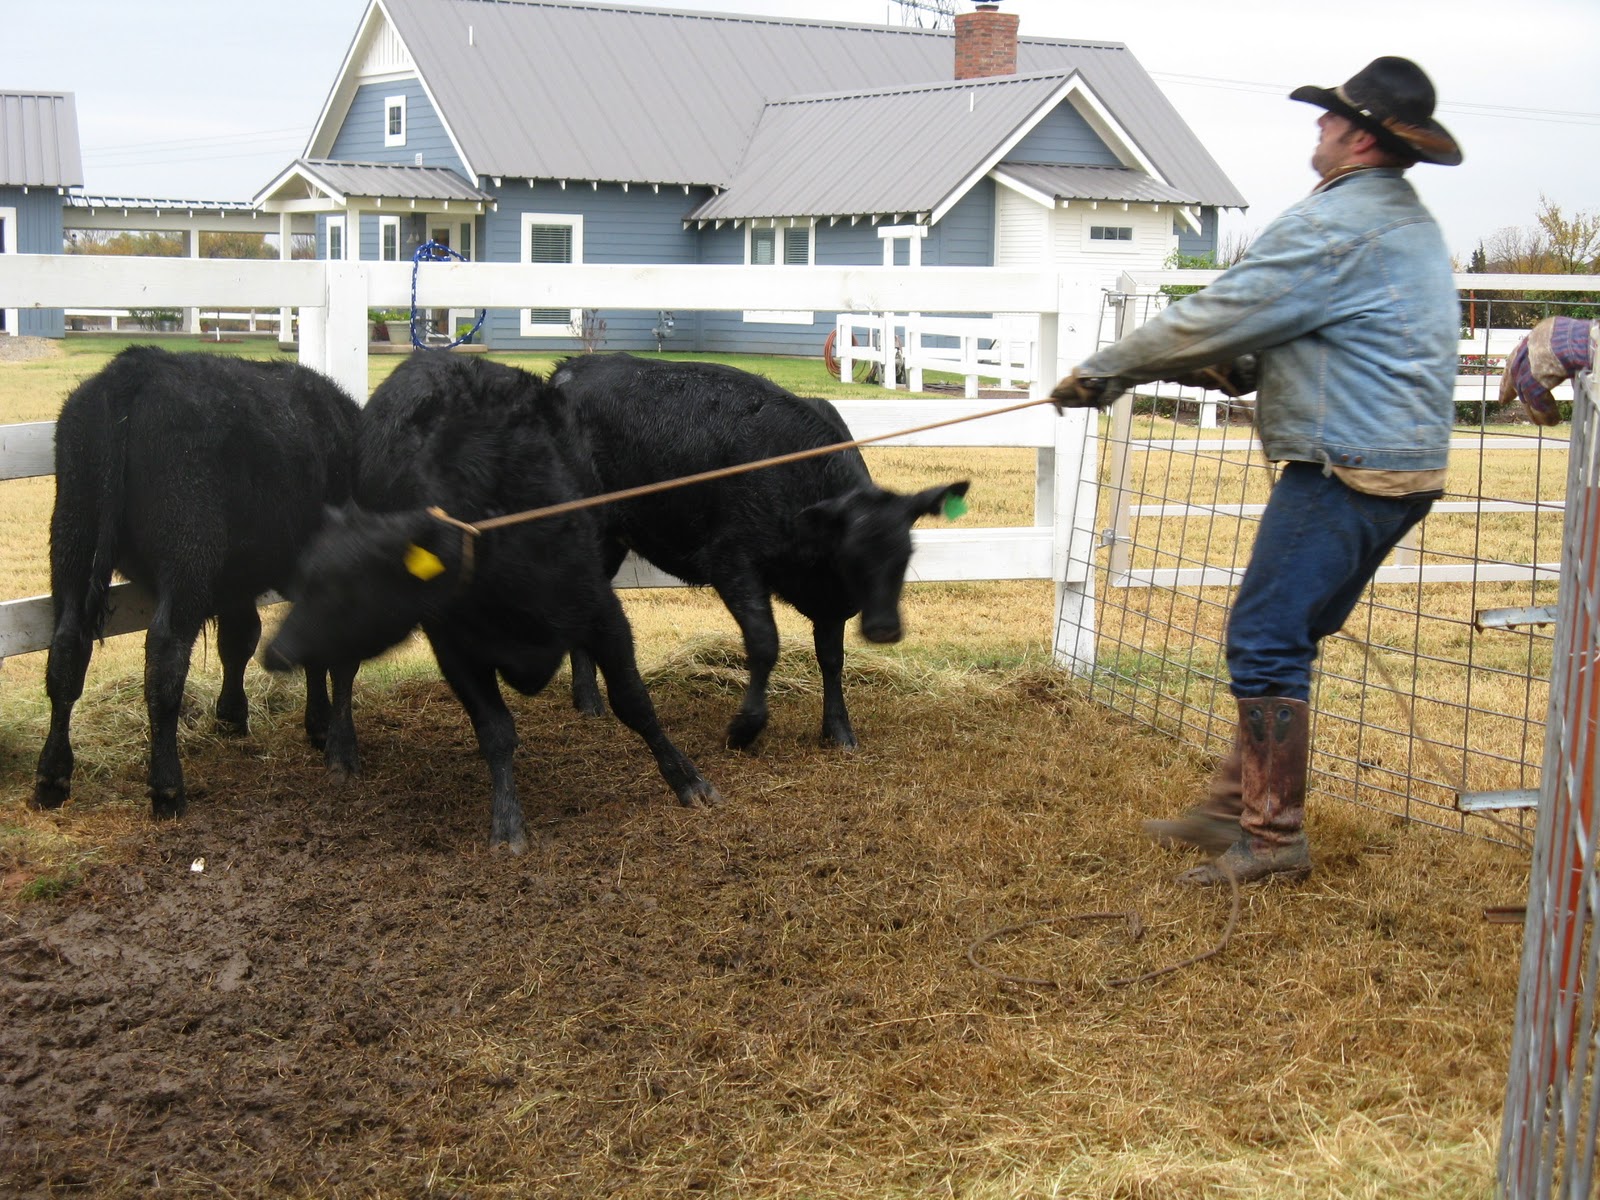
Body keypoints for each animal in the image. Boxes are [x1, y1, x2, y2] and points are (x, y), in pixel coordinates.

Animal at [33, 346, 363, 820]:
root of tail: (136, 366)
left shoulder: (240, 583)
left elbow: (241, 640)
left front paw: (236, 716)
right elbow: (334, 654)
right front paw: (339, 746)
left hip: (72, 536)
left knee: (66, 649)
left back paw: (52, 777)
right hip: (187, 550)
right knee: (166, 656)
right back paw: (167, 787)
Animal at [262, 353, 719, 854]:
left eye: (349, 589)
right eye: (308, 579)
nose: (275, 652)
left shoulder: (602, 611)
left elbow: (635, 701)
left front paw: (687, 779)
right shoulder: (454, 644)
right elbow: (496, 731)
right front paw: (507, 821)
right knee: (344, 671)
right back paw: (341, 749)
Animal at [548, 352, 969, 752]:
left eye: (906, 554)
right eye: (850, 554)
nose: (885, 628)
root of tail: (569, 369)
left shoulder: (829, 602)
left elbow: (832, 658)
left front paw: (838, 729)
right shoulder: (732, 563)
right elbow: (765, 643)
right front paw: (745, 728)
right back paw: (588, 698)